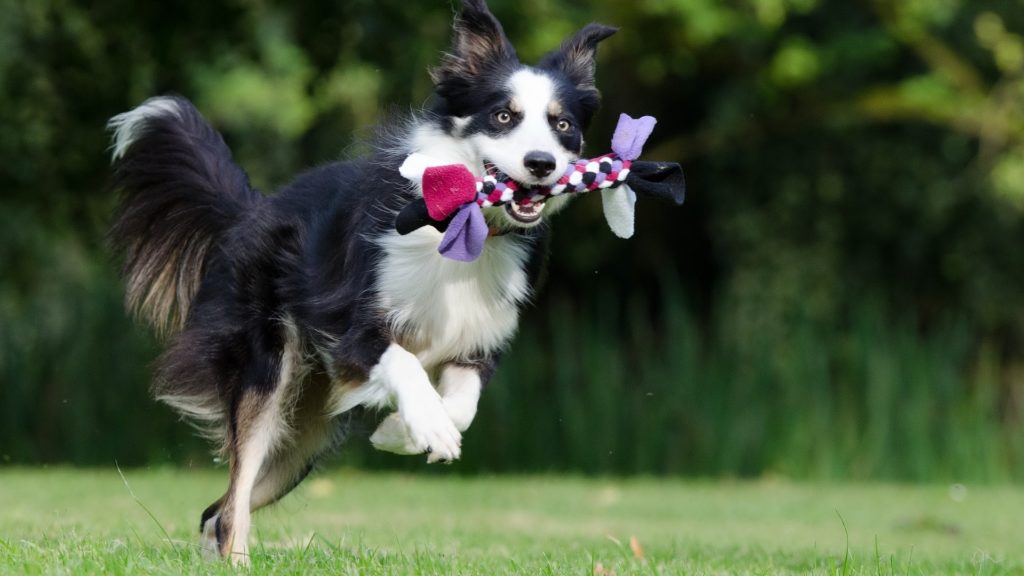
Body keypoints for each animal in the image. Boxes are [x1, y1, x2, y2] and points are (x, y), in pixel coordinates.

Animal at [107, 0, 614, 561]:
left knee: (215, 511)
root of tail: (253, 210)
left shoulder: (478, 341)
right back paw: (238, 563)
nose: (541, 164)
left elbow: (463, 406)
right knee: (233, 497)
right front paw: (427, 426)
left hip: (302, 436)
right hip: (269, 372)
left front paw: (402, 432)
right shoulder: (349, 325)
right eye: (504, 116)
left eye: (562, 124)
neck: (465, 226)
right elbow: (405, 363)